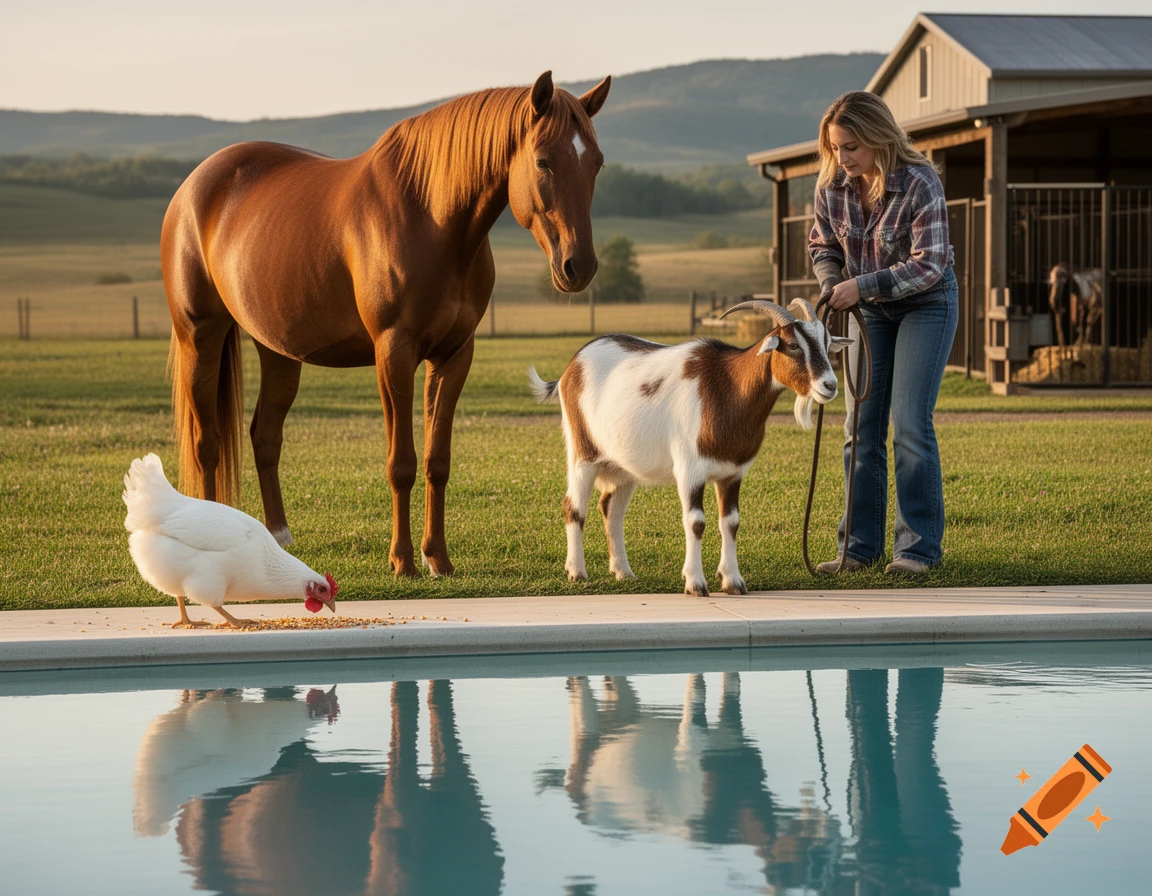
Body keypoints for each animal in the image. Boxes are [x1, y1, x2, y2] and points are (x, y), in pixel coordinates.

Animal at [162, 71, 611, 578]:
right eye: (543, 161)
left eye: (596, 163)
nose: (579, 267)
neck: (432, 218)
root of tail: (193, 186)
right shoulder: (393, 353)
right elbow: (402, 463)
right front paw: (403, 561)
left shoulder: (454, 355)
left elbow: (437, 461)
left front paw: (438, 558)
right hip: (200, 337)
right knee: (207, 443)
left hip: (277, 351)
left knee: (265, 435)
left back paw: (279, 537)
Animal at [528, 298, 851, 596]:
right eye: (793, 345)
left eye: (826, 343)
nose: (830, 385)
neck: (727, 388)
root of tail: (572, 366)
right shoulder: (689, 470)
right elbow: (696, 522)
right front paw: (695, 583)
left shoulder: (732, 473)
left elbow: (730, 522)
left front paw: (733, 582)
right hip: (582, 453)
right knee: (574, 506)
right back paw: (577, 573)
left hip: (622, 466)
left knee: (612, 509)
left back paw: (623, 572)